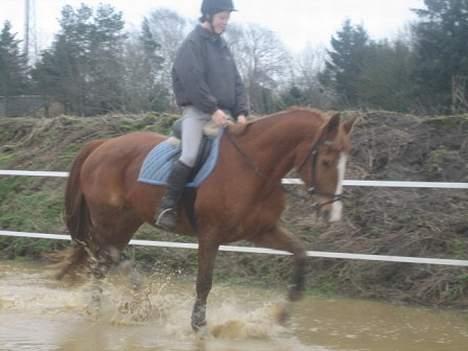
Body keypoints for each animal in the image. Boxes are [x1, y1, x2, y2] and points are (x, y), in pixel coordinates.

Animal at [59, 108, 358, 332]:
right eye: (327, 161)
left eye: (346, 159)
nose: (332, 214)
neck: (253, 169)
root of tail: (102, 145)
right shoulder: (210, 235)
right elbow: (204, 282)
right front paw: (198, 324)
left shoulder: (263, 231)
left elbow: (300, 252)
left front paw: (284, 312)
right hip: (109, 220)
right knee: (103, 259)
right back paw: (118, 303)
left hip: (127, 221)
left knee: (107, 260)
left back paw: (126, 303)